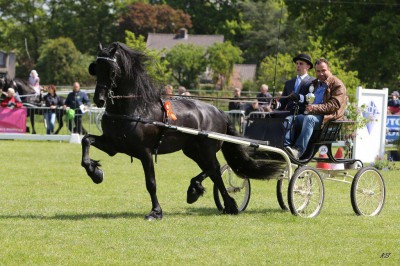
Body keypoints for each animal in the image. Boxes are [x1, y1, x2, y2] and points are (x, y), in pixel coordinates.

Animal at [81, 42, 282, 220]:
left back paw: (228, 204)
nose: (99, 100)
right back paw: (197, 190)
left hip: (206, 149)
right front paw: (95, 172)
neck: (134, 109)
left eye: (112, 71)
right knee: (212, 170)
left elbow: (151, 183)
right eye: (95, 69)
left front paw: (155, 212)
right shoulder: (113, 146)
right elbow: (86, 140)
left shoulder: (145, 152)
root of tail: (220, 112)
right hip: (192, 150)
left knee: (215, 170)